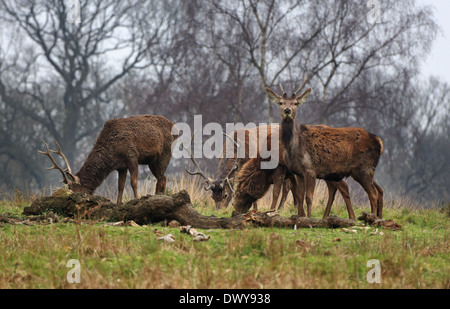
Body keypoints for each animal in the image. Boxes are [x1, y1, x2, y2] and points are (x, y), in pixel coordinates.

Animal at [38, 114, 178, 203]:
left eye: (72, 189)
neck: (112, 153)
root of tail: (175, 128)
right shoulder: (121, 166)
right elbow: (120, 186)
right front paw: (118, 203)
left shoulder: (132, 155)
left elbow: (133, 182)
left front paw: (136, 199)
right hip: (152, 161)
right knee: (162, 178)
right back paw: (159, 196)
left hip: (164, 154)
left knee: (162, 178)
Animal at [266, 76, 384, 218]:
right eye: (281, 102)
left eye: (295, 103)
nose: (287, 110)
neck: (294, 148)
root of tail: (379, 141)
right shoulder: (298, 172)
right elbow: (300, 197)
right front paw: (300, 217)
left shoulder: (310, 169)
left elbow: (308, 198)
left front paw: (309, 218)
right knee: (376, 191)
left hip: (364, 168)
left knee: (373, 193)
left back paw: (371, 218)